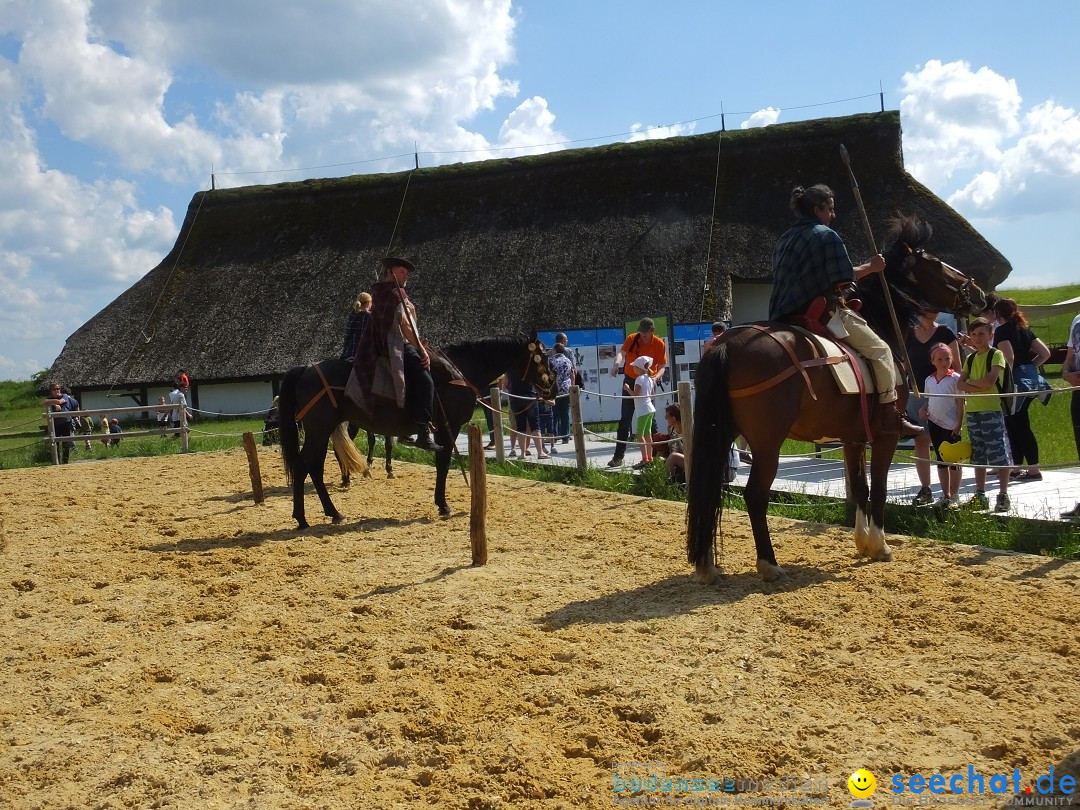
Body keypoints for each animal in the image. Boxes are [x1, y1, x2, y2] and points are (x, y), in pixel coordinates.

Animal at [278, 332, 552, 529]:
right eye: (545, 358)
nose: (553, 389)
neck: (460, 371)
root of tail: (306, 369)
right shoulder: (448, 428)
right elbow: (443, 463)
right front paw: (443, 505)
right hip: (319, 431)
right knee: (304, 467)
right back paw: (302, 518)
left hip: (321, 432)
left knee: (315, 467)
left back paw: (333, 512)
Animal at [686, 216, 984, 583]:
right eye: (937, 262)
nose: (980, 293)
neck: (879, 321)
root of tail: (727, 345)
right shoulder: (884, 435)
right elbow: (878, 488)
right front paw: (880, 545)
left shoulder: (853, 438)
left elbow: (858, 488)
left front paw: (863, 542)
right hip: (767, 444)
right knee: (755, 496)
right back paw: (769, 563)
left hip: (721, 433)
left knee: (707, 488)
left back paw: (707, 564)